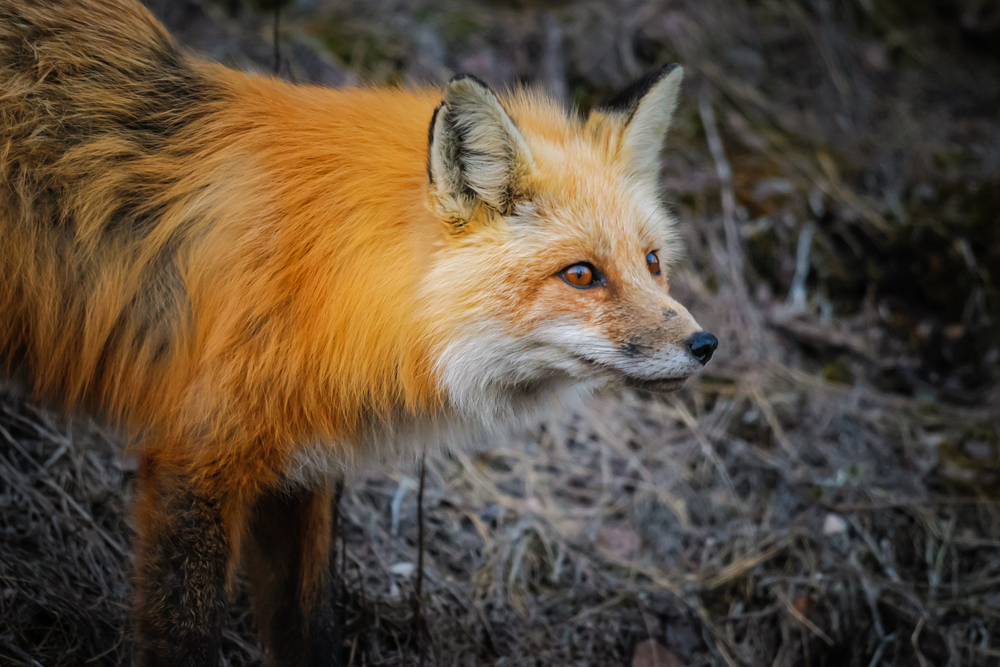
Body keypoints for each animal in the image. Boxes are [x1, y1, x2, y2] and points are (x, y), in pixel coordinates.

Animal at [0, 0, 720, 664]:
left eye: (652, 262)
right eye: (581, 274)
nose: (705, 345)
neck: (323, 274)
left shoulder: (298, 471)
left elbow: (307, 626)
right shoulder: (195, 456)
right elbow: (184, 633)